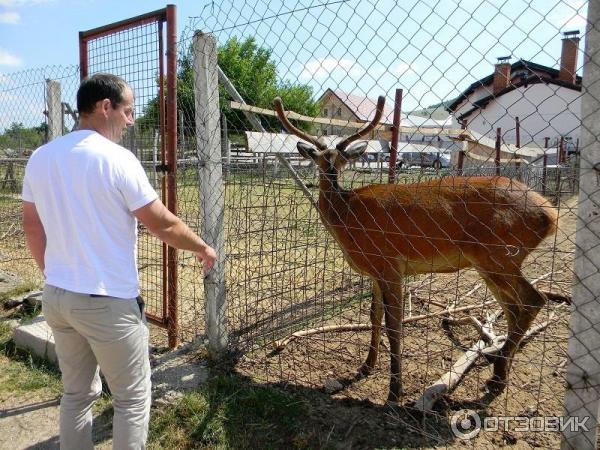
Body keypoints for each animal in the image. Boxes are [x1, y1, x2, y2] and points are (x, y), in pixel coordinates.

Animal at [274, 96, 560, 404]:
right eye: (319, 159)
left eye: (341, 160)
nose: (330, 176)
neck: (349, 220)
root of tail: (550, 214)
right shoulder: (376, 271)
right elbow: (373, 316)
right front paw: (366, 366)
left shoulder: (390, 264)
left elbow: (394, 325)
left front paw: (394, 392)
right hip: (492, 262)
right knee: (512, 307)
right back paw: (498, 375)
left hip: (497, 254)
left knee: (533, 300)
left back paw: (497, 374)